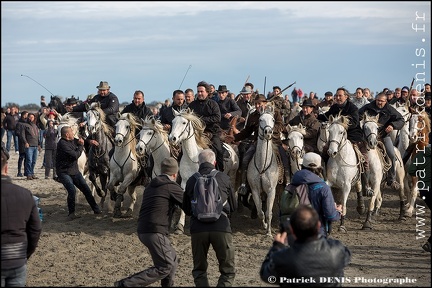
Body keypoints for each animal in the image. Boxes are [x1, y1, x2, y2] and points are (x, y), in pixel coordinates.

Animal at [246, 102, 280, 237]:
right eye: (260, 119)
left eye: (273, 119)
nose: (268, 132)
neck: (262, 166)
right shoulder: (255, 190)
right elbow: (261, 212)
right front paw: (265, 225)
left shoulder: (271, 191)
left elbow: (268, 213)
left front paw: (269, 233)